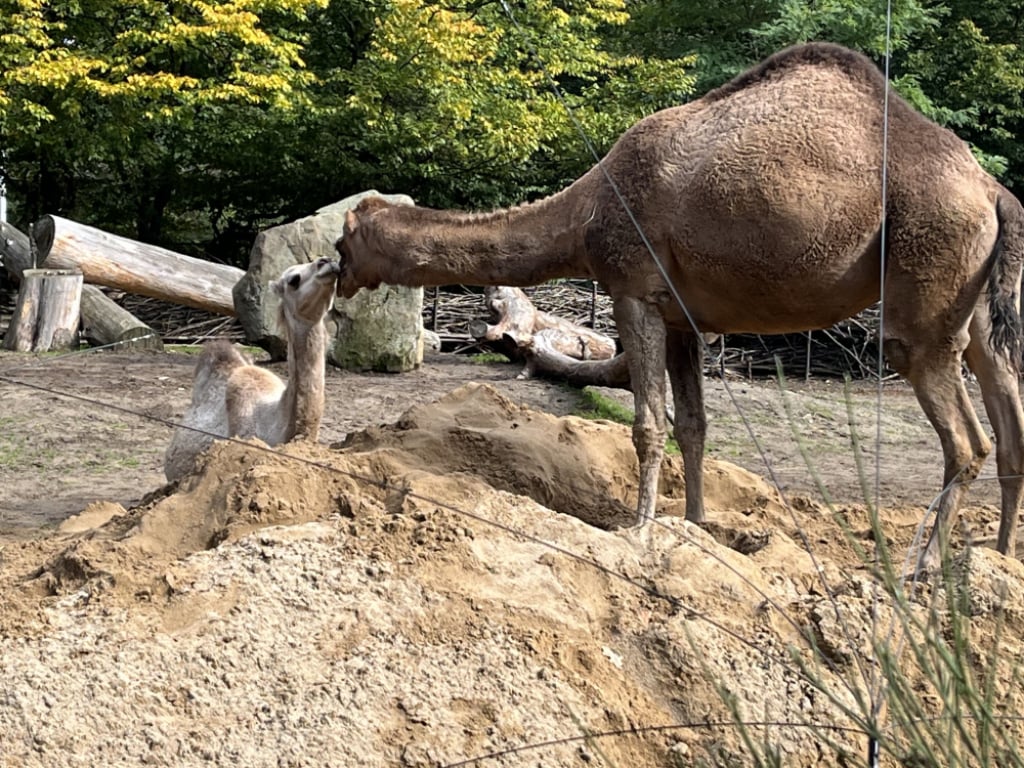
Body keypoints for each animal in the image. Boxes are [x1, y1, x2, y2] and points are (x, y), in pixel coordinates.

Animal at [333, 41, 1024, 573]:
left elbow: (647, 424)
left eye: (343, 241)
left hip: (926, 275)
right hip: (978, 299)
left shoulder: (634, 291)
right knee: (1006, 408)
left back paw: (922, 566)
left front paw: (636, 530)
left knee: (965, 435)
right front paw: (695, 524)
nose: (333, 277)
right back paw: (997, 555)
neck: (587, 214)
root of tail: (996, 193)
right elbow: (693, 425)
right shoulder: (684, 317)